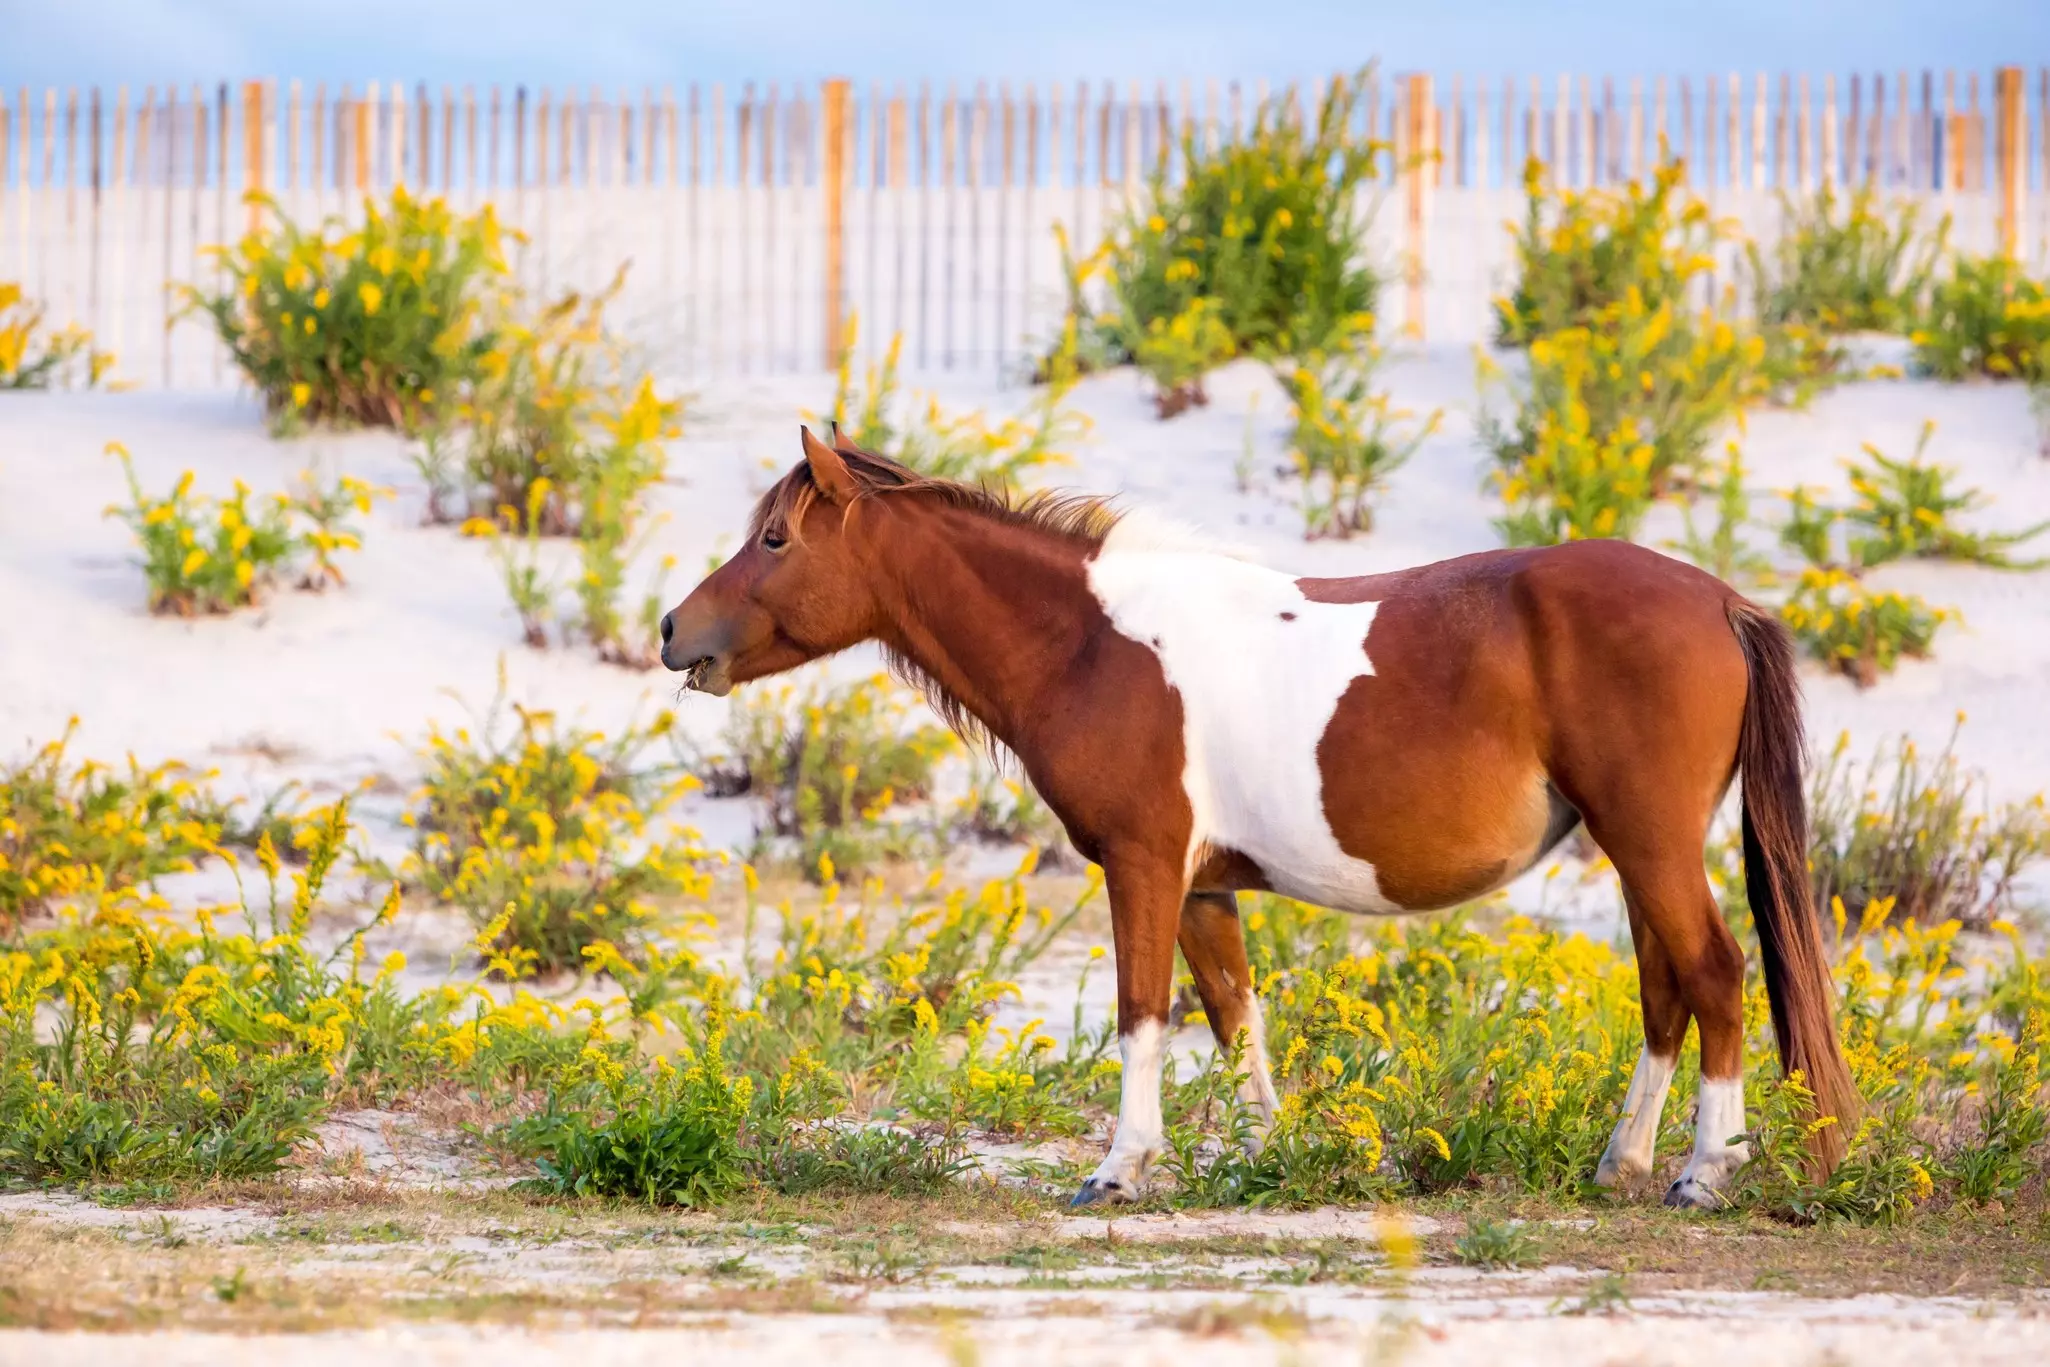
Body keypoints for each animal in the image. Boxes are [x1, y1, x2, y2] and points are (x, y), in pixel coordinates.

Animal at [661, 427, 1859, 1209]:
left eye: (775, 539)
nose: (675, 630)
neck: (1091, 642)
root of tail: (1718, 599)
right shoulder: (1202, 886)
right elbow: (1237, 1022)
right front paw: (1261, 1156)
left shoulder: (1143, 866)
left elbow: (1142, 1013)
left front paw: (1118, 1168)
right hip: (1636, 850)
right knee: (1666, 990)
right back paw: (1625, 1163)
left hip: (1649, 843)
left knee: (1713, 974)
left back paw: (1704, 1171)